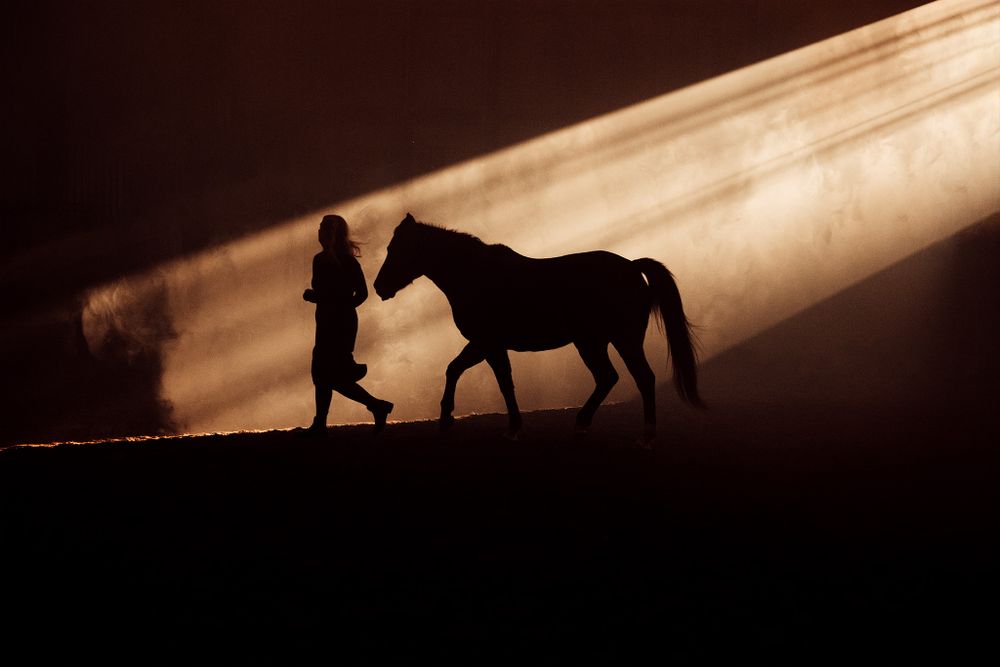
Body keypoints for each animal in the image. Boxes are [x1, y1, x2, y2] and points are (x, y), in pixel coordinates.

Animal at [373, 213, 702, 444]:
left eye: (396, 249)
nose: (379, 287)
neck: (476, 275)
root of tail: (632, 266)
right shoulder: (484, 344)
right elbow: (459, 370)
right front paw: (447, 419)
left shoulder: (488, 343)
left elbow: (500, 382)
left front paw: (511, 429)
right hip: (601, 341)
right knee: (614, 378)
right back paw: (589, 426)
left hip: (615, 341)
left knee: (635, 378)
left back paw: (641, 435)